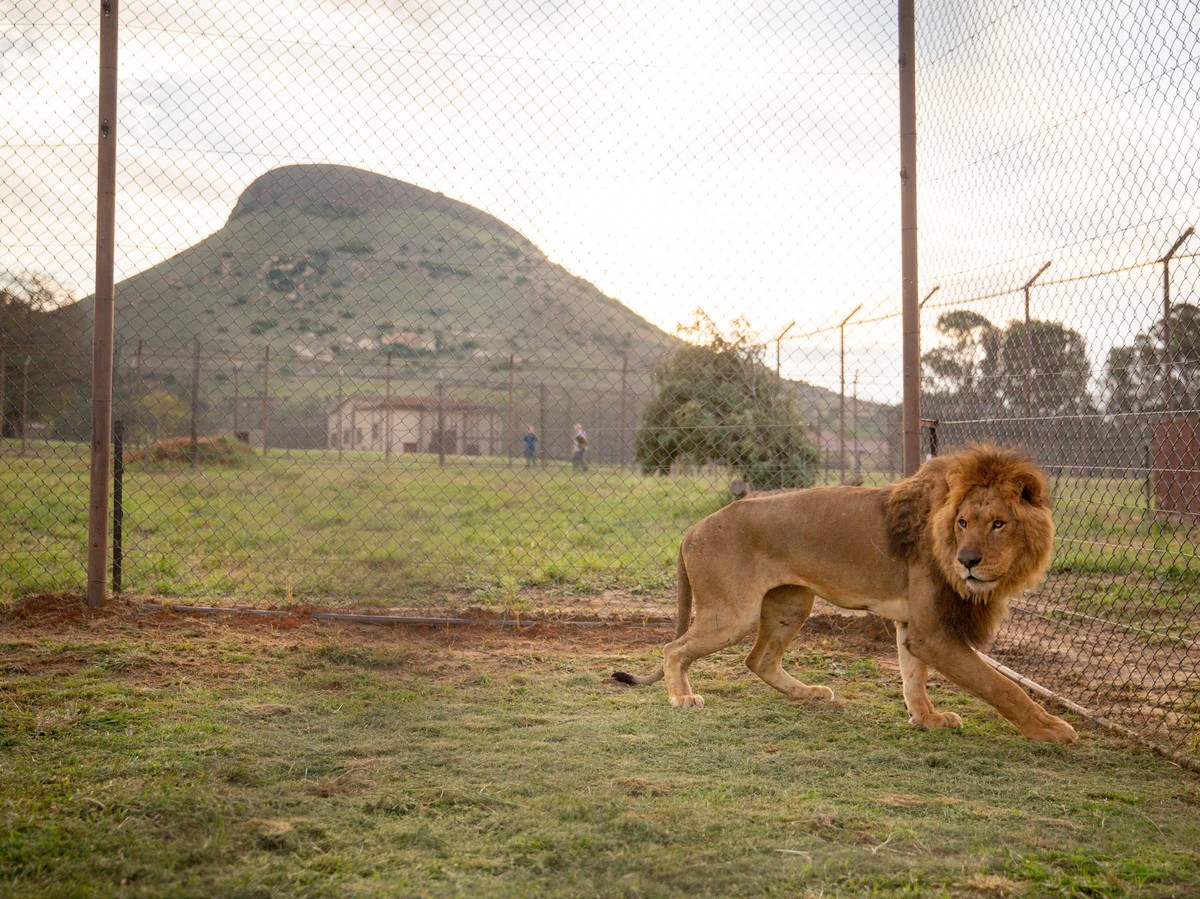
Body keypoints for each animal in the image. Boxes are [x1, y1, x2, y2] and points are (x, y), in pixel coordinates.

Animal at [613, 444, 1076, 743]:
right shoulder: (934, 633)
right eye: (963, 523)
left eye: (998, 524)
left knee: (758, 659)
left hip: (791, 602)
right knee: (674, 649)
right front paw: (1051, 729)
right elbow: (1001, 686)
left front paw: (926, 719)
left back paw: (810, 694)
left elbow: (913, 678)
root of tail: (692, 529)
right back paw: (682, 697)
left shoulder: (913, 625)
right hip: (733, 613)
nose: (967, 561)